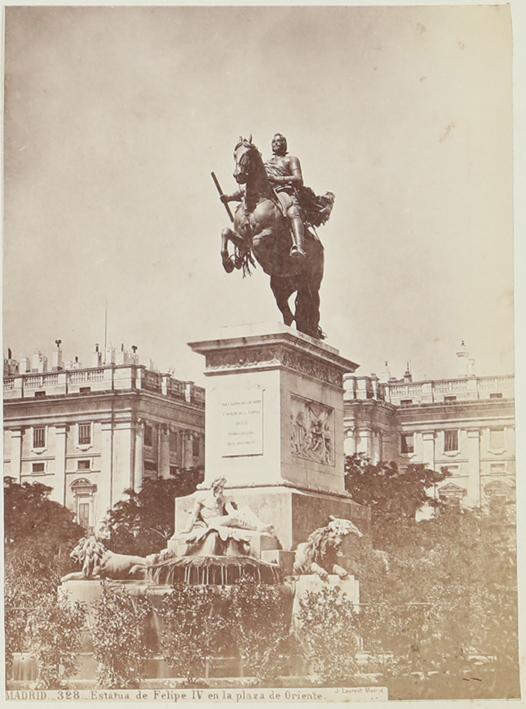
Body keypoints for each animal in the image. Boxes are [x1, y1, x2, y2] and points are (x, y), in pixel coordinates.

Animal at [220, 138, 326, 340]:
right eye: (235, 154)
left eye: (249, 153)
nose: (238, 175)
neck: (255, 201)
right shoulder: (241, 236)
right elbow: (225, 232)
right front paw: (230, 262)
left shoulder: (267, 236)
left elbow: (256, 241)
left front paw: (240, 259)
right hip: (281, 287)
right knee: (290, 315)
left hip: (312, 284)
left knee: (313, 311)